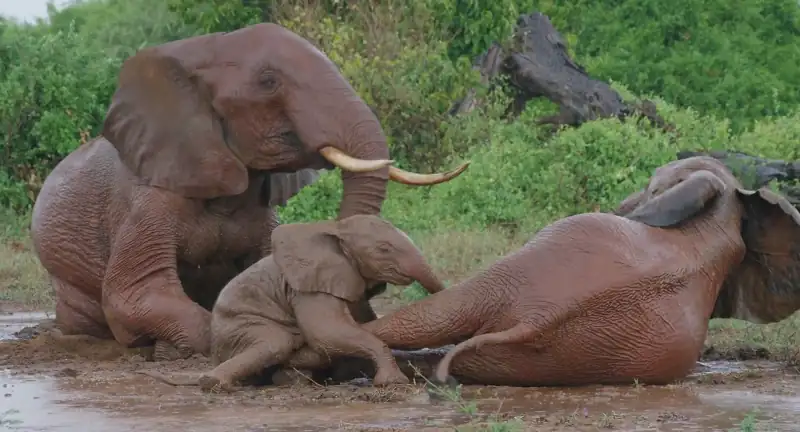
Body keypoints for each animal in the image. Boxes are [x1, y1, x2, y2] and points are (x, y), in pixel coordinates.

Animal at [137, 215, 445, 391]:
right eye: (383, 249)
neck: (334, 230)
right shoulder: (306, 288)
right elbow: (326, 333)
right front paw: (392, 383)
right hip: (236, 329)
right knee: (277, 343)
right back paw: (215, 384)